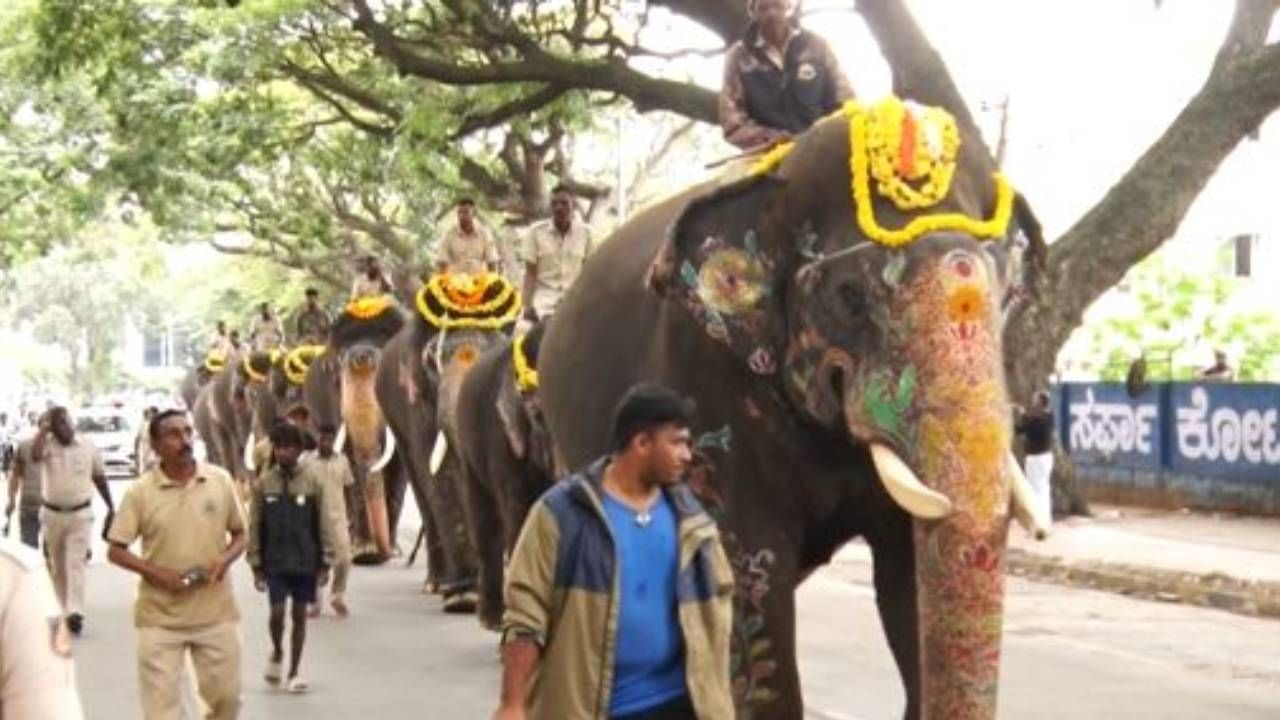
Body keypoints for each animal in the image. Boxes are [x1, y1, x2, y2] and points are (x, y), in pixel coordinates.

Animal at [303, 297, 407, 561]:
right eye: (339, 373)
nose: (361, 355)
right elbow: (349, 460)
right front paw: (365, 552)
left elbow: (400, 465)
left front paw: (392, 550)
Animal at [376, 271, 522, 607]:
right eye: (433, 358)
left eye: (496, 353)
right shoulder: (417, 403)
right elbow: (440, 472)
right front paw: (465, 596)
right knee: (420, 485)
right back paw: (436, 583)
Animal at [455, 320, 555, 627]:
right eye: (537, 415)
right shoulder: (501, 440)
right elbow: (519, 513)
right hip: (466, 450)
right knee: (486, 523)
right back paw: (491, 619)